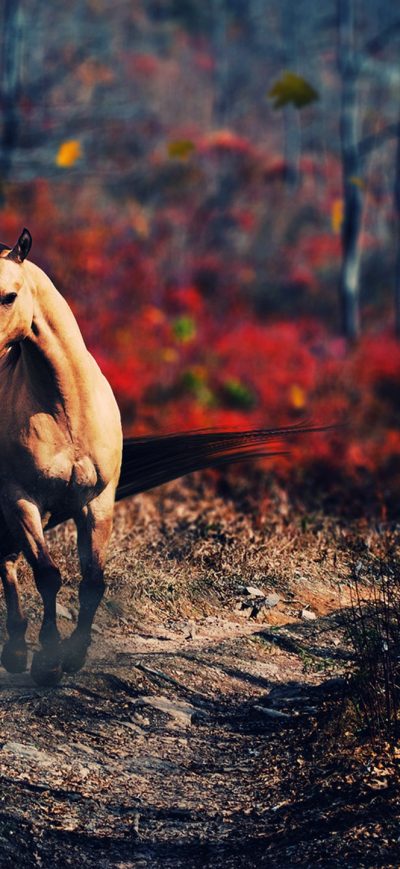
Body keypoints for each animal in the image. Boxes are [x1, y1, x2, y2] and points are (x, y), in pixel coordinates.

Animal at [0, 228, 324, 686]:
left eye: (9, 296)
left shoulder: (96, 501)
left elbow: (92, 580)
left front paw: (74, 655)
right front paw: (47, 660)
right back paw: (14, 651)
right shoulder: (22, 498)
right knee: (8, 562)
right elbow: (47, 575)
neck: (64, 407)